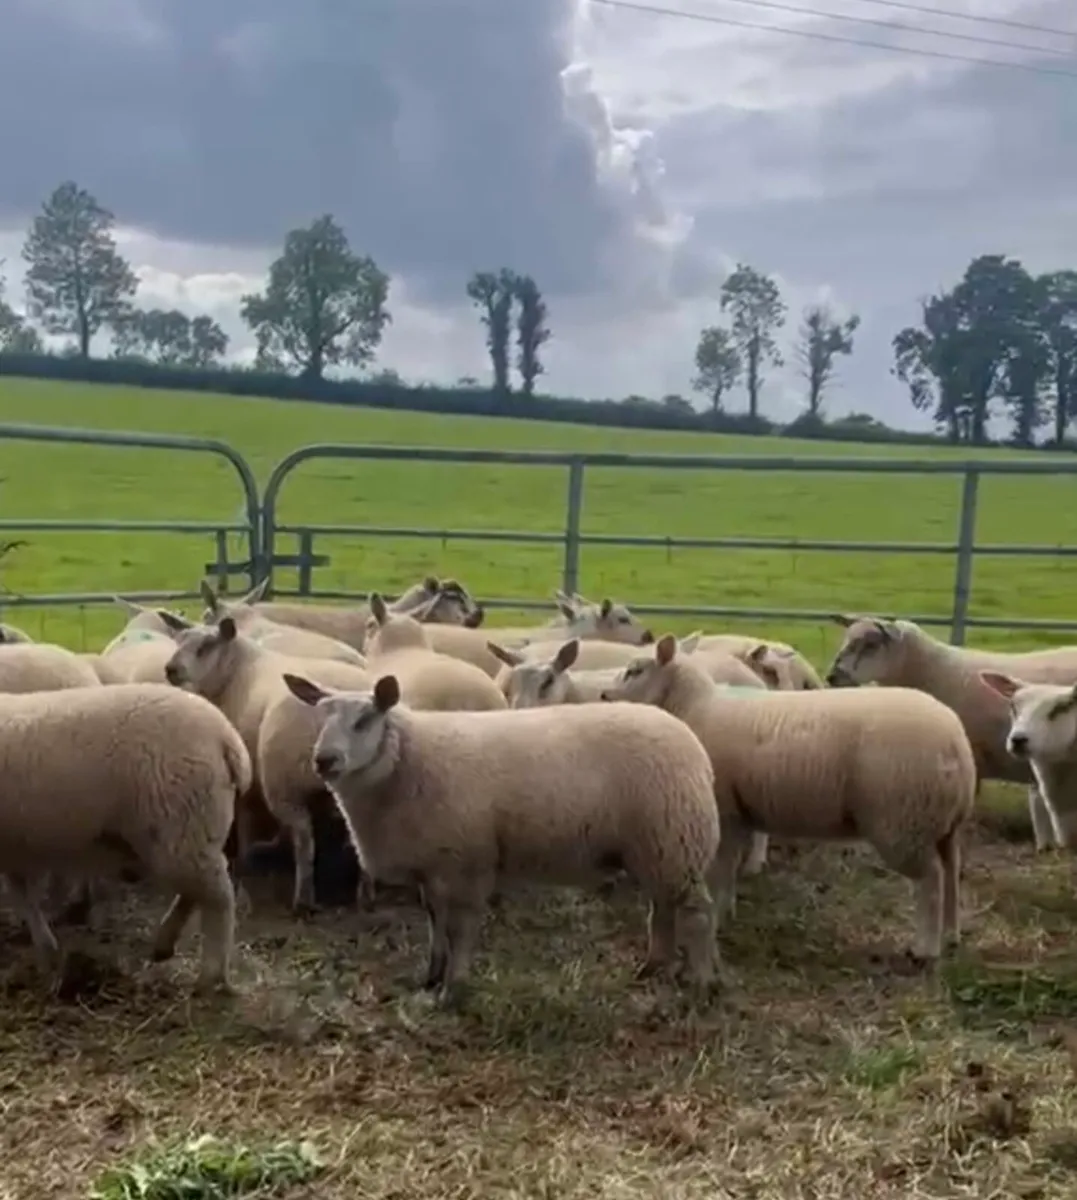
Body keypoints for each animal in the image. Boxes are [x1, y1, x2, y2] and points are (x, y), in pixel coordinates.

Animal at [0, 682, 249, 994]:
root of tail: (226, 737)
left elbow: (23, 896)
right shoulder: (15, 848)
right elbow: (23, 896)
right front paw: (47, 949)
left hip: (179, 826)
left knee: (220, 900)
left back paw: (211, 975)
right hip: (184, 836)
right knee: (199, 890)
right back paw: (164, 944)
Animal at [158, 610, 373, 913]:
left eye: (206, 647)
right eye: (178, 640)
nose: (171, 669)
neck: (236, 672)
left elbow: (245, 817)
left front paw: (245, 858)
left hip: (285, 783)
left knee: (303, 839)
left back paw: (303, 899)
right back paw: (365, 894)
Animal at [281, 669, 722, 1005]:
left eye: (364, 720)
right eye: (320, 718)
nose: (324, 760)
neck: (406, 759)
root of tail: (691, 741)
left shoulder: (466, 863)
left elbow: (459, 929)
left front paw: (453, 989)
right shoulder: (433, 865)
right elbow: (434, 922)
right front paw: (432, 976)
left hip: (676, 839)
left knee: (698, 913)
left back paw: (701, 983)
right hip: (656, 848)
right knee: (662, 908)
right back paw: (653, 967)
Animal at [601, 634, 976, 966]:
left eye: (635, 670)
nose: (605, 695)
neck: (695, 707)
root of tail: (956, 741)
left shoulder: (724, 809)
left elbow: (721, 869)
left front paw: (720, 914)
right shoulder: (738, 811)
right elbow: (728, 869)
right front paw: (727, 909)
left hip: (903, 821)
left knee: (930, 880)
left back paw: (925, 949)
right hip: (942, 824)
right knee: (950, 872)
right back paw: (951, 934)